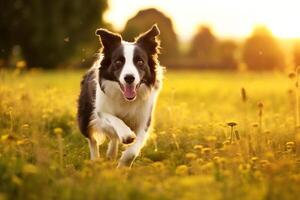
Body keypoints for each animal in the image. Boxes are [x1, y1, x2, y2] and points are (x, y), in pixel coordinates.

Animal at [76, 24, 163, 167]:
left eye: (140, 62)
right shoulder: (100, 111)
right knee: (92, 139)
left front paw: (122, 167)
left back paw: (111, 154)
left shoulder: (144, 121)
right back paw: (95, 160)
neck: (125, 99)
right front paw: (126, 134)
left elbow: (132, 151)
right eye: (118, 62)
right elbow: (115, 120)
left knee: (112, 138)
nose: (129, 78)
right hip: (85, 116)